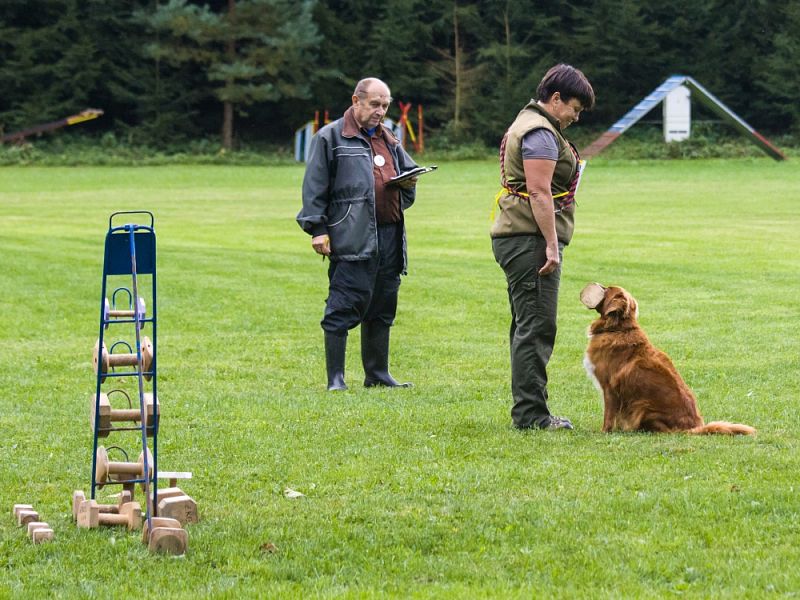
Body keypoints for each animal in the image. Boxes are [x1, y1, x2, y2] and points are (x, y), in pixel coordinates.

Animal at [580, 284, 756, 434]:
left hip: (641, 406)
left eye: (607, 289)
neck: (617, 329)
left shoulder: (609, 387)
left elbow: (609, 415)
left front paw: (604, 432)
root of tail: (693, 428)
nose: (597, 285)